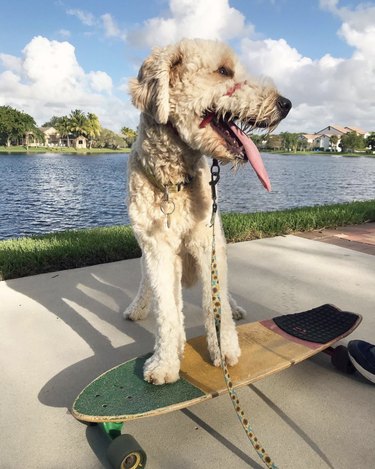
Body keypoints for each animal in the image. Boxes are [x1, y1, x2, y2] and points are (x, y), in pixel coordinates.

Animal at [125, 38, 292, 384]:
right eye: (224, 71)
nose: (286, 104)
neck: (173, 181)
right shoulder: (156, 249)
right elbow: (166, 309)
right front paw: (165, 361)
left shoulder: (207, 241)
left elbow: (214, 303)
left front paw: (224, 350)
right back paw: (139, 308)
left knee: (222, 289)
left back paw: (233, 306)